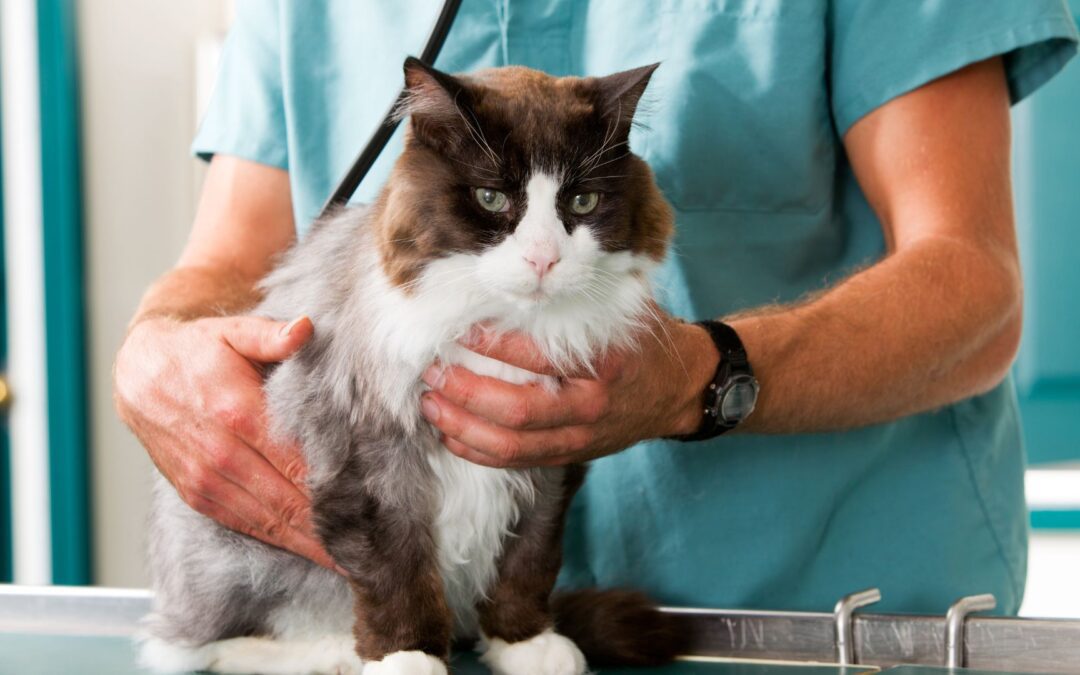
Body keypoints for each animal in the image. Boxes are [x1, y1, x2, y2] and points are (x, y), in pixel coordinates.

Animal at [139, 59, 682, 673]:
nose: (543, 259)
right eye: (491, 198)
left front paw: (524, 642)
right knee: (198, 644)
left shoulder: (550, 462)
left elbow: (528, 561)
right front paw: (409, 656)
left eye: (583, 204)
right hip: (233, 558)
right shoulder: (370, 459)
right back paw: (329, 653)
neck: (503, 325)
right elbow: (397, 572)